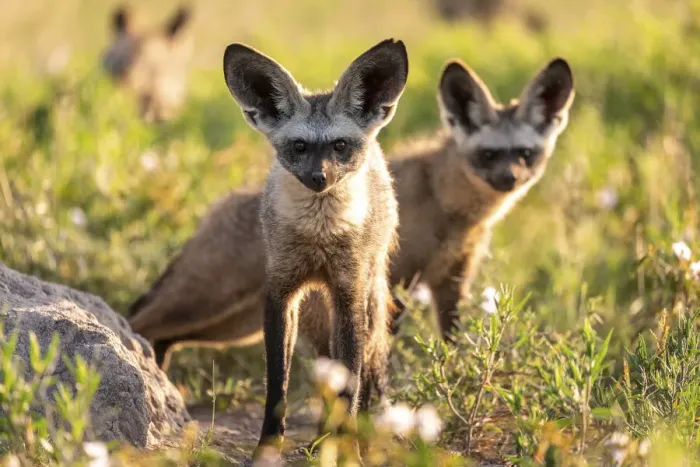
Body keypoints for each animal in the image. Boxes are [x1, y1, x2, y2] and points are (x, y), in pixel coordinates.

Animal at [129, 56, 574, 368]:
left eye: (525, 154)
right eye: (489, 154)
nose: (509, 179)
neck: (449, 209)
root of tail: (215, 208)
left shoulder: (451, 281)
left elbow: (449, 345)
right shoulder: (395, 282)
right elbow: (383, 357)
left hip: (237, 323)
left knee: (163, 337)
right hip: (209, 301)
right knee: (139, 319)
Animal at [220, 39, 408, 455]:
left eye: (339, 145)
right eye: (300, 146)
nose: (319, 178)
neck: (320, 237)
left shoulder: (348, 296)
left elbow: (350, 384)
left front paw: (347, 449)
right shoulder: (281, 292)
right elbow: (277, 383)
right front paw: (268, 447)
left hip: (364, 296)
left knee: (364, 369)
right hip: (316, 316)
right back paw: (321, 435)